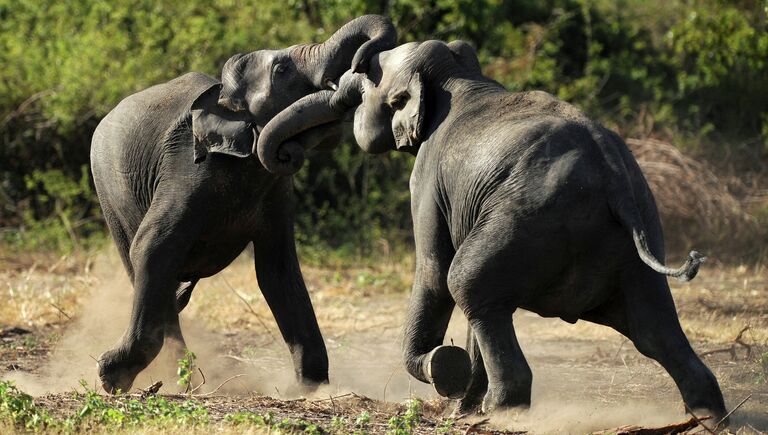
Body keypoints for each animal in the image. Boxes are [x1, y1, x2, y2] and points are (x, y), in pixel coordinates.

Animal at [90, 14, 396, 396]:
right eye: (281, 69)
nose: (359, 67)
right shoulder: (187, 169)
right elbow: (152, 246)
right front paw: (110, 376)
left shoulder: (275, 189)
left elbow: (278, 271)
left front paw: (314, 390)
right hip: (108, 192)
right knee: (143, 266)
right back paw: (183, 379)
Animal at [252, 40, 728, 418]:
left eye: (365, 82)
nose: (288, 154)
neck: (457, 76)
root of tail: (612, 173)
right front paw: (460, 408)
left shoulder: (427, 179)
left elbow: (434, 270)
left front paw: (446, 373)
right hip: (632, 230)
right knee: (653, 328)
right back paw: (706, 418)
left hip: (533, 216)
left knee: (466, 281)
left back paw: (504, 413)